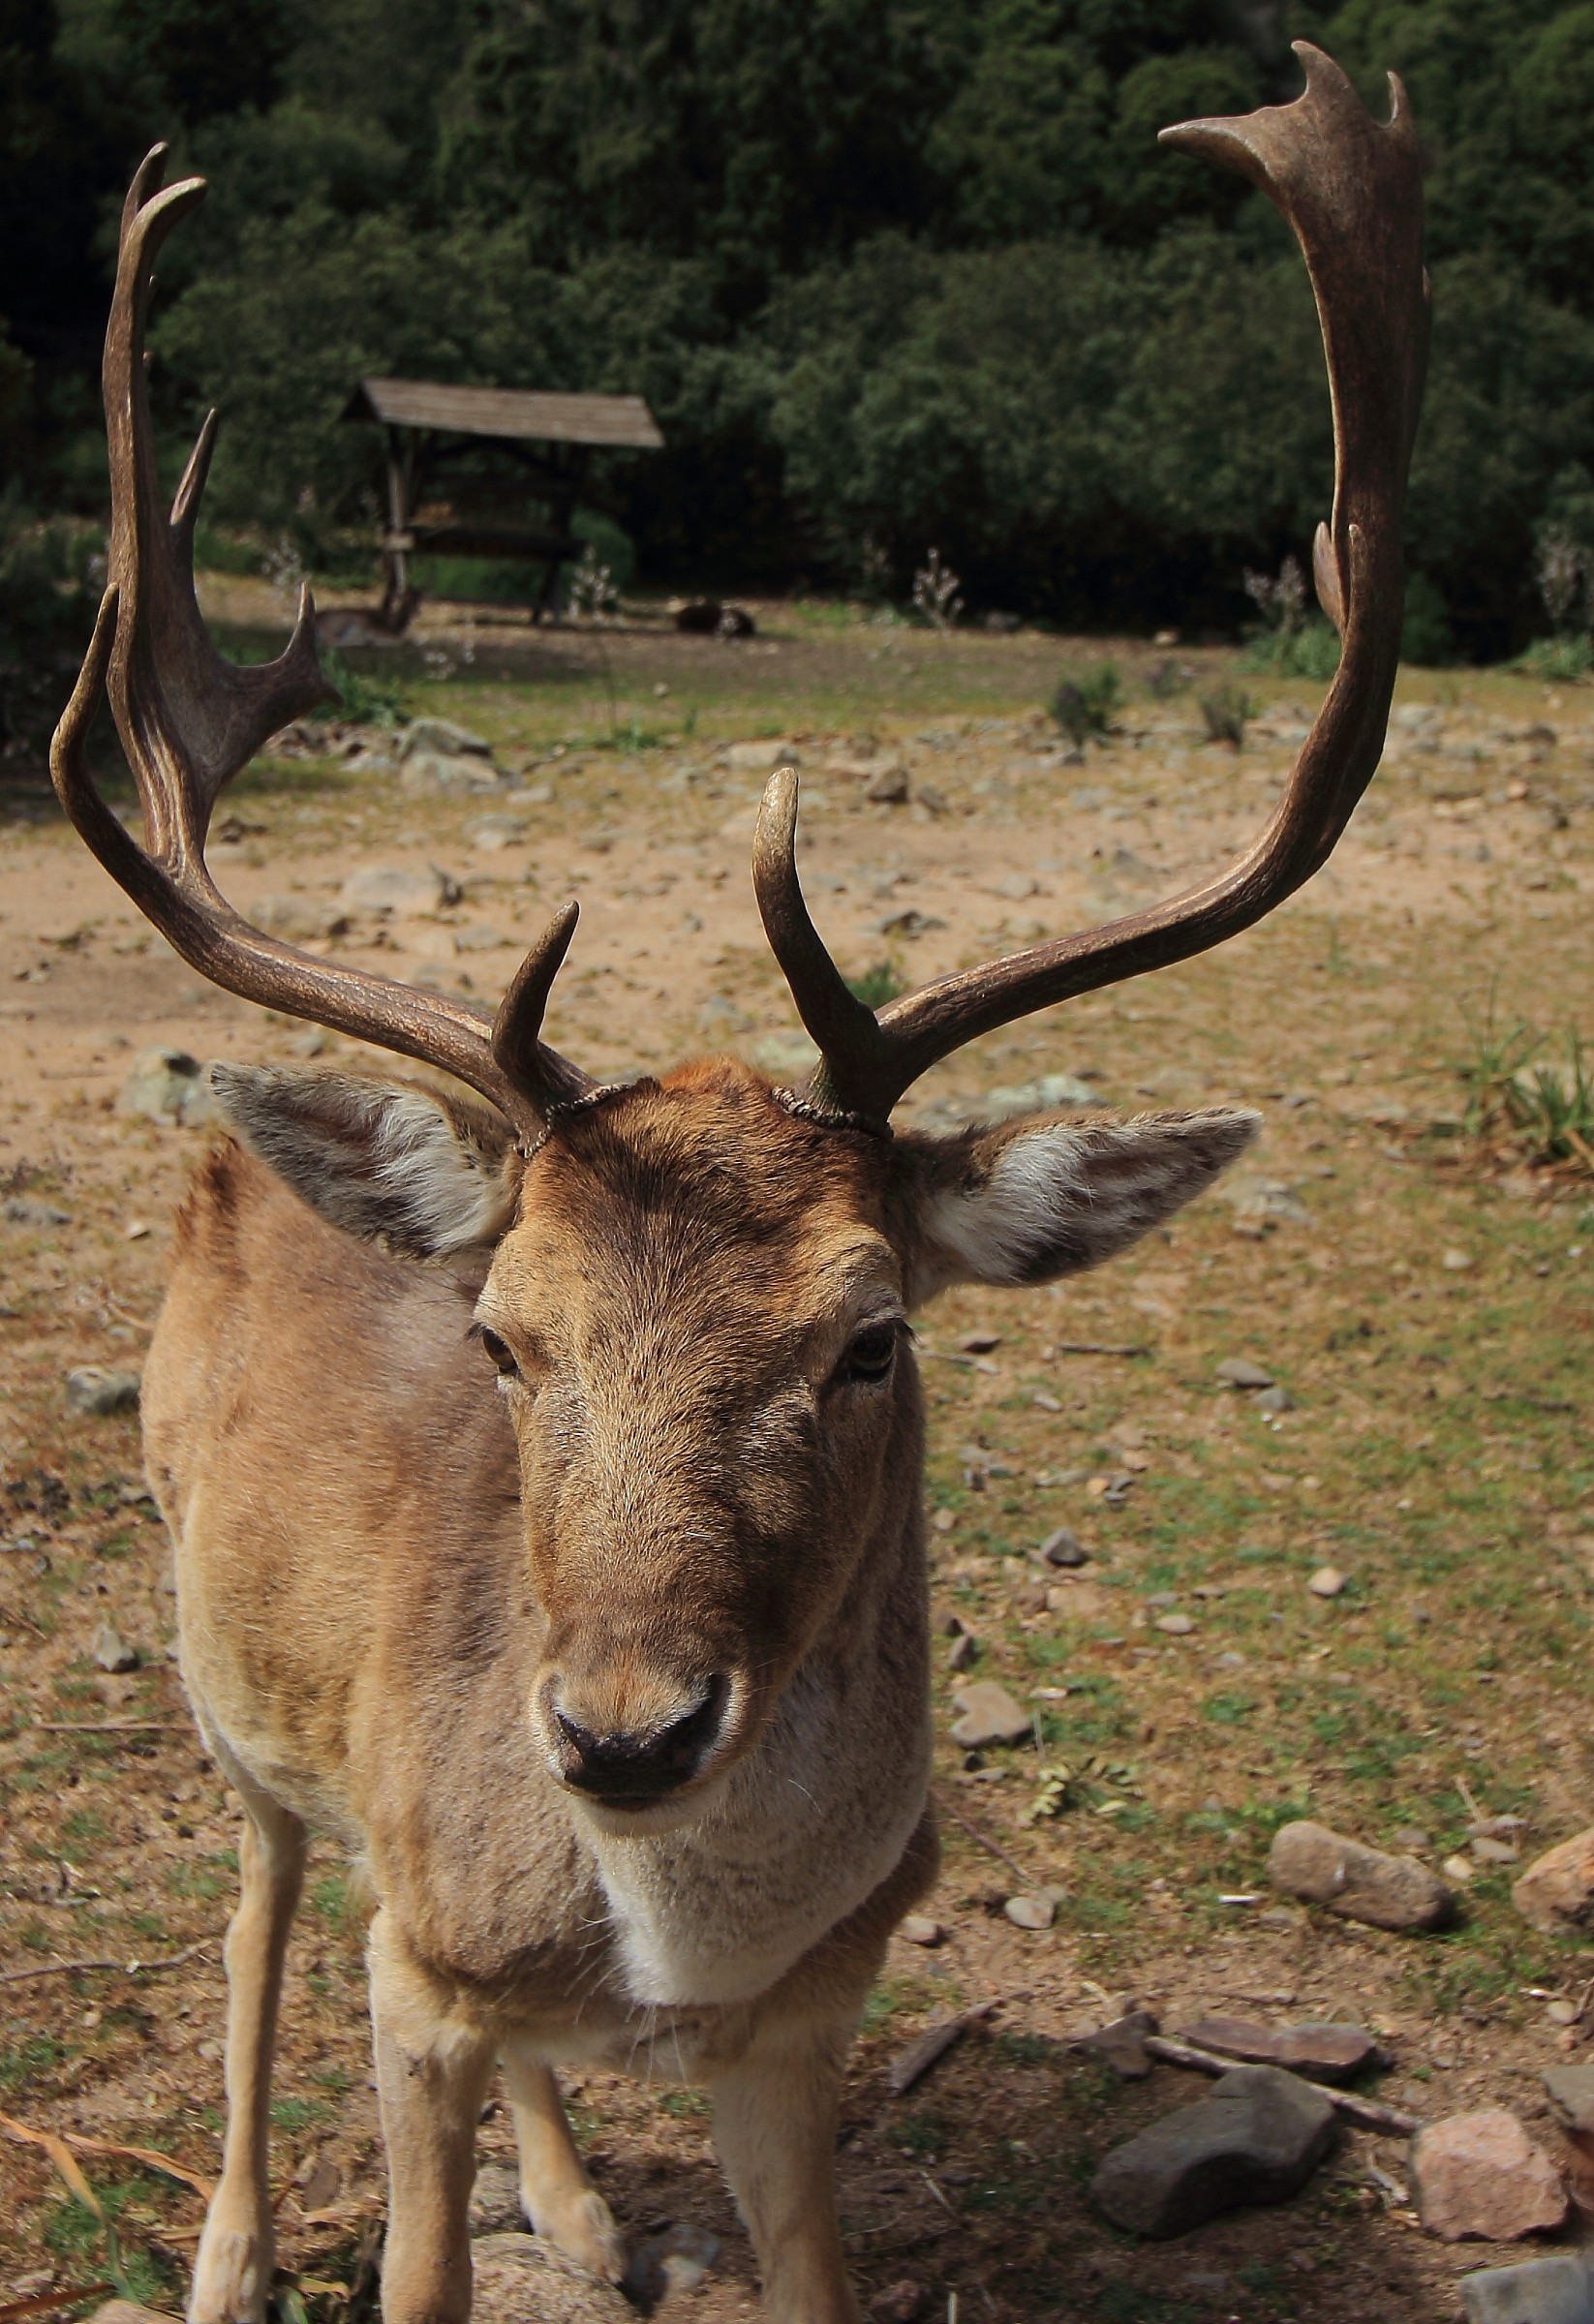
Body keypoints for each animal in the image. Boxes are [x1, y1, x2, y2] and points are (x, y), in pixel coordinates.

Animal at [50, 44, 1425, 2324]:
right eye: (501, 1341)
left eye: (870, 1338)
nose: (619, 1735)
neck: (662, 1956)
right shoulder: (413, 1972)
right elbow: (407, 2232)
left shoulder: (805, 2026)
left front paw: (595, 2204)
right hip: (217, 1663)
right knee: (255, 1904)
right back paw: (231, 2250)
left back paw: (581, 2200)